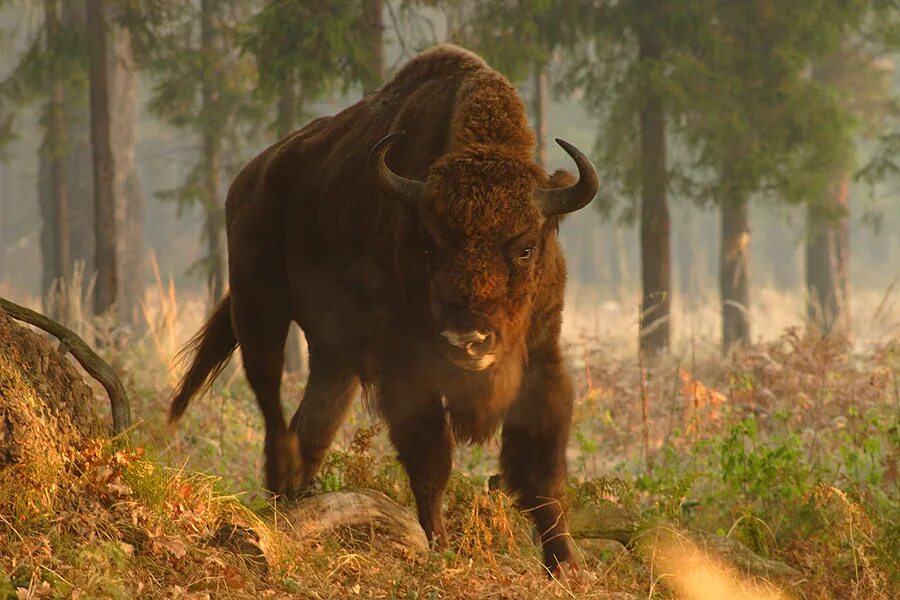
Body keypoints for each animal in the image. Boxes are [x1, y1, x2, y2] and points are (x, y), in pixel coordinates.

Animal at [172, 43, 600, 572]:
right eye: (429, 246)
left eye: (523, 248)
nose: (467, 341)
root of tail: (246, 181)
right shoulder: (407, 369)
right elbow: (431, 458)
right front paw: (437, 542)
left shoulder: (541, 357)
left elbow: (543, 469)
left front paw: (567, 564)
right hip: (260, 311)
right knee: (273, 407)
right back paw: (281, 491)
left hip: (333, 356)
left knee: (314, 423)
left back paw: (301, 500)